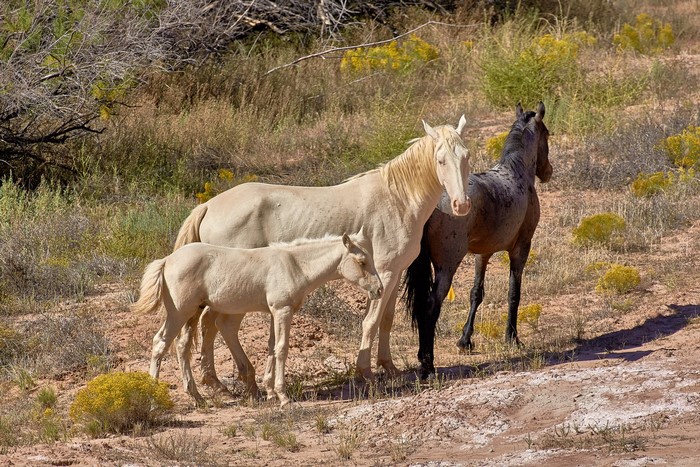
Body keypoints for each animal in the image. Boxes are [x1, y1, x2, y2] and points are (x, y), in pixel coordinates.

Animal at [133, 231, 383, 406]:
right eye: (362, 262)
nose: (379, 290)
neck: (295, 265)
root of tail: (167, 260)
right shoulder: (283, 311)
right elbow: (282, 348)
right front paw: (283, 396)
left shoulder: (275, 313)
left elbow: (271, 347)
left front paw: (270, 393)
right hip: (179, 312)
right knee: (160, 343)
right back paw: (153, 398)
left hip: (192, 313)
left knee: (182, 346)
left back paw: (197, 397)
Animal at [173, 116, 472, 395]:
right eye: (441, 160)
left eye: (466, 156)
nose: (461, 205)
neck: (397, 199)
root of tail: (208, 206)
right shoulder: (385, 273)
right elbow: (371, 322)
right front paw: (365, 372)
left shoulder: (394, 274)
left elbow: (386, 321)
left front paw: (389, 368)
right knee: (216, 325)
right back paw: (233, 382)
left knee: (210, 326)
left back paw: (226, 382)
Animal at [404, 102, 552, 379]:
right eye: (547, 134)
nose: (548, 172)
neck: (515, 173)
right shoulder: (521, 248)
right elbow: (514, 292)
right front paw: (512, 337)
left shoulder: (482, 255)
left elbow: (476, 293)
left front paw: (465, 340)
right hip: (447, 266)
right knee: (430, 305)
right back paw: (428, 364)